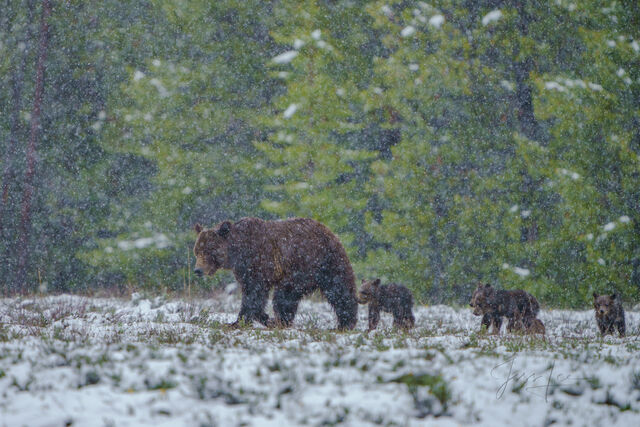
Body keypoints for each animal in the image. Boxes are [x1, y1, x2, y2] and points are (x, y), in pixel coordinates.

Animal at [190, 217, 360, 332]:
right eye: (197, 250)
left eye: (208, 250)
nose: (198, 270)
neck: (237, 252)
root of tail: (330, 232)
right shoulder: (243, 270)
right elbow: (252, 295)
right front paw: (263, 318)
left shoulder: (258, 263)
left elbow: (253, 295)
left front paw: (237, 322)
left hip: (314, 263)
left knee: (334, 289)